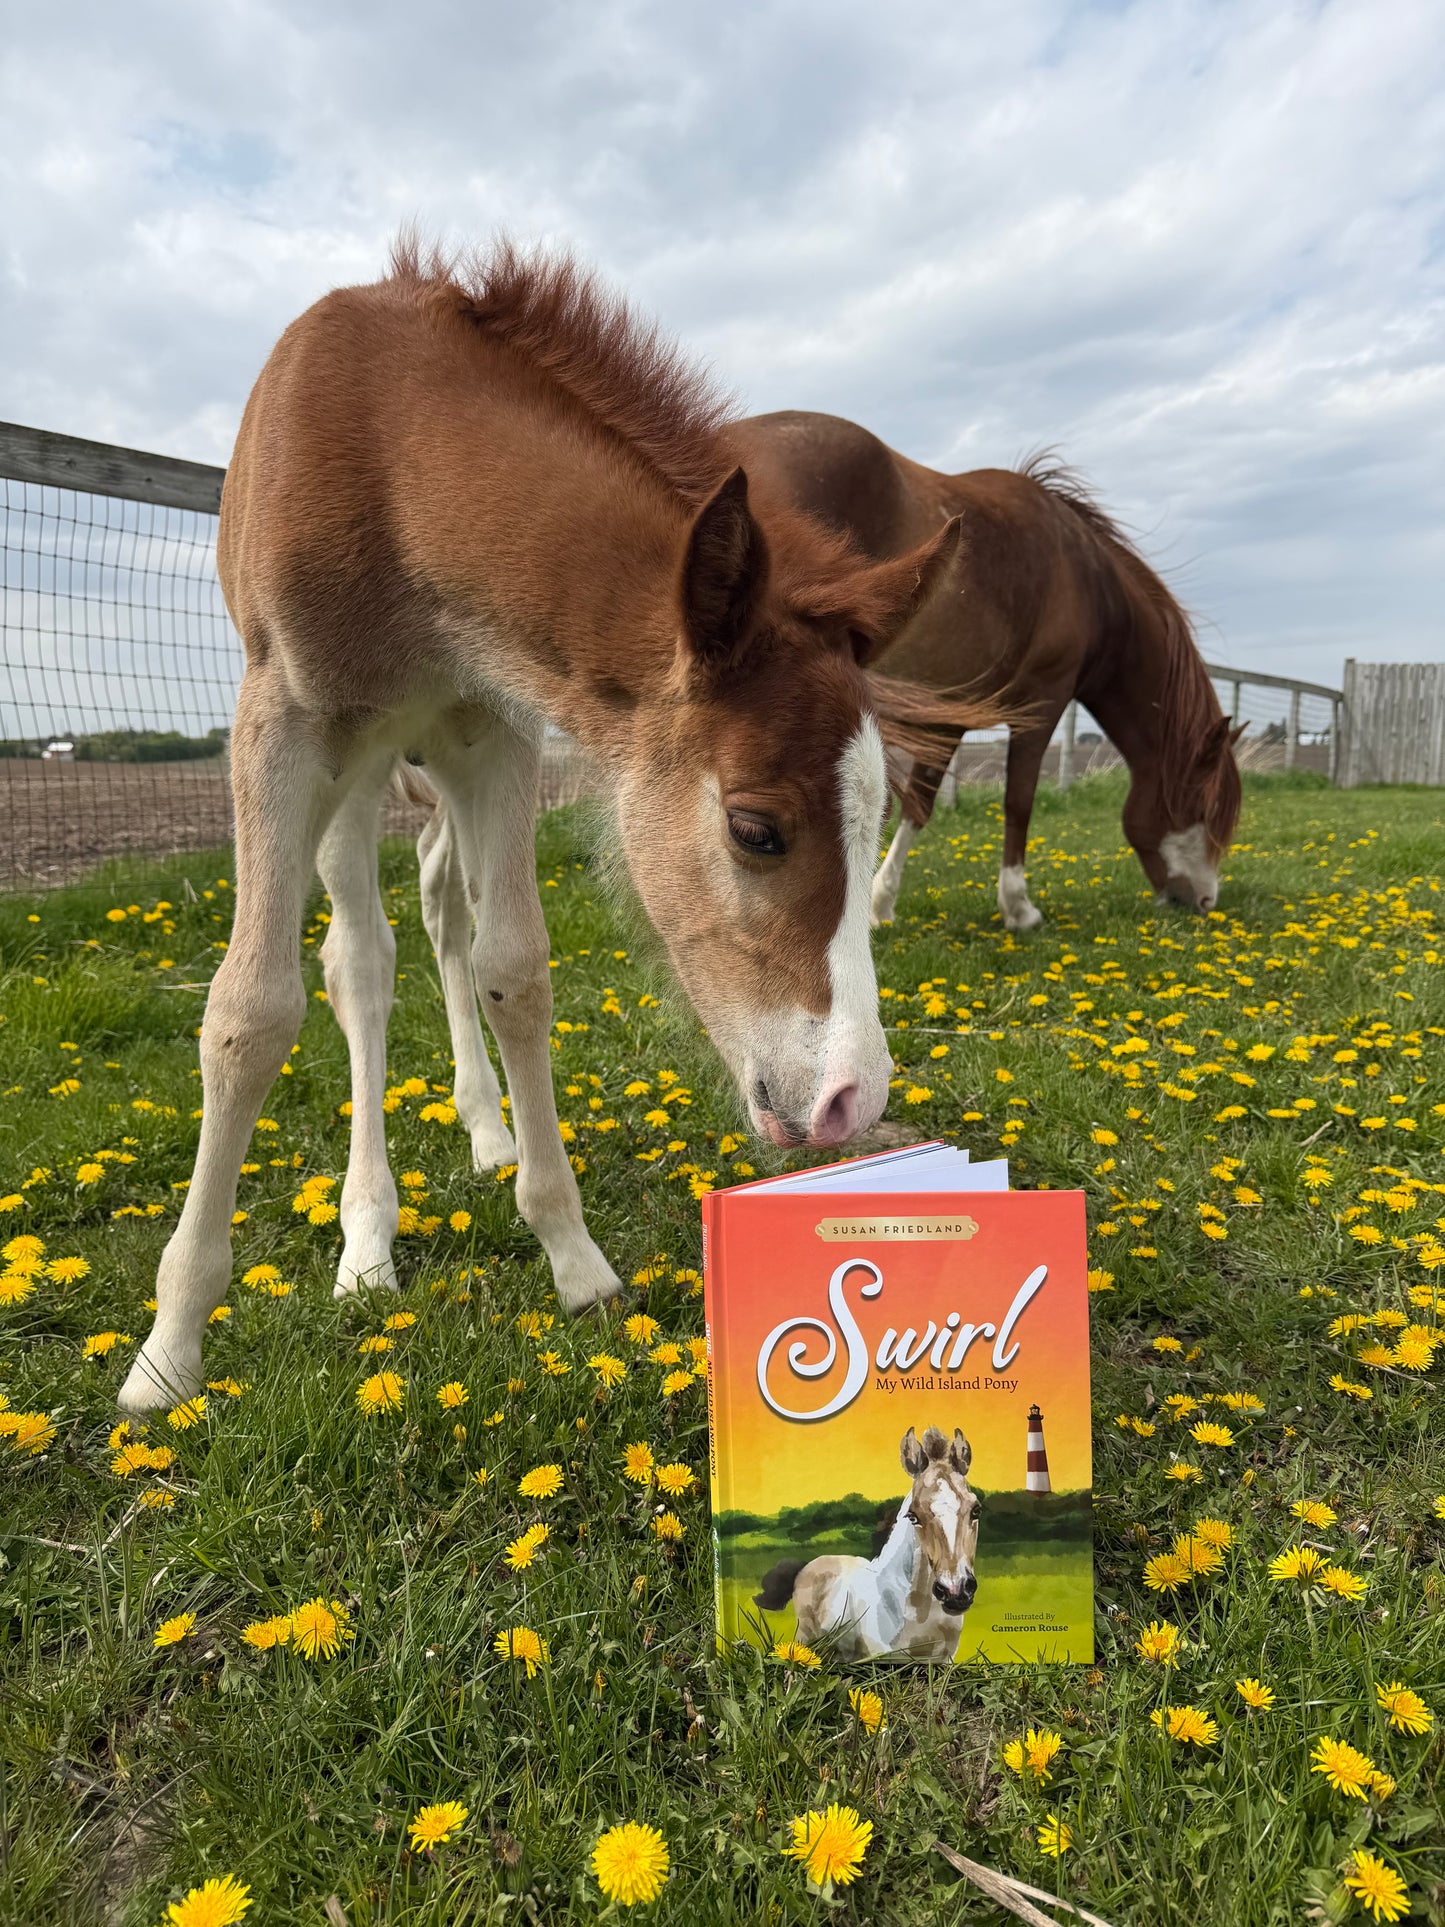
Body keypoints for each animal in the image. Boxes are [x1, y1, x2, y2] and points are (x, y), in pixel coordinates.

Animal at [119, 244, 1001, 1413]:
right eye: (756, 829)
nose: (850, 1102)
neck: (389, 456)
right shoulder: (282, 726)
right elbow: (249, 1012)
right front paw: (168, 1346)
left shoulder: (493, 728)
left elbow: (515, 970)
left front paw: (573, 1258)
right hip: (349, 768)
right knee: (359, 958)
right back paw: (366, 1238)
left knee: (439, 912)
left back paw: (484, 1130)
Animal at [727, 410, 1243, 932]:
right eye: (1204, 807)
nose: (1205, 901)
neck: (1093, 588)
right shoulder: (1042, 703)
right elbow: (1019, 801)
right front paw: (1018, 908)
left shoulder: (949, 714)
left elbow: (920, 803)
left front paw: (880, 904)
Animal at [754, 1425, 979, 1662]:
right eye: (913, 1516)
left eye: (976, 1510)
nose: (955, 1591)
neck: (917, 1614)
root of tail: (807, 1566)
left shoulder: (942, 1660)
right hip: (806, 1639)